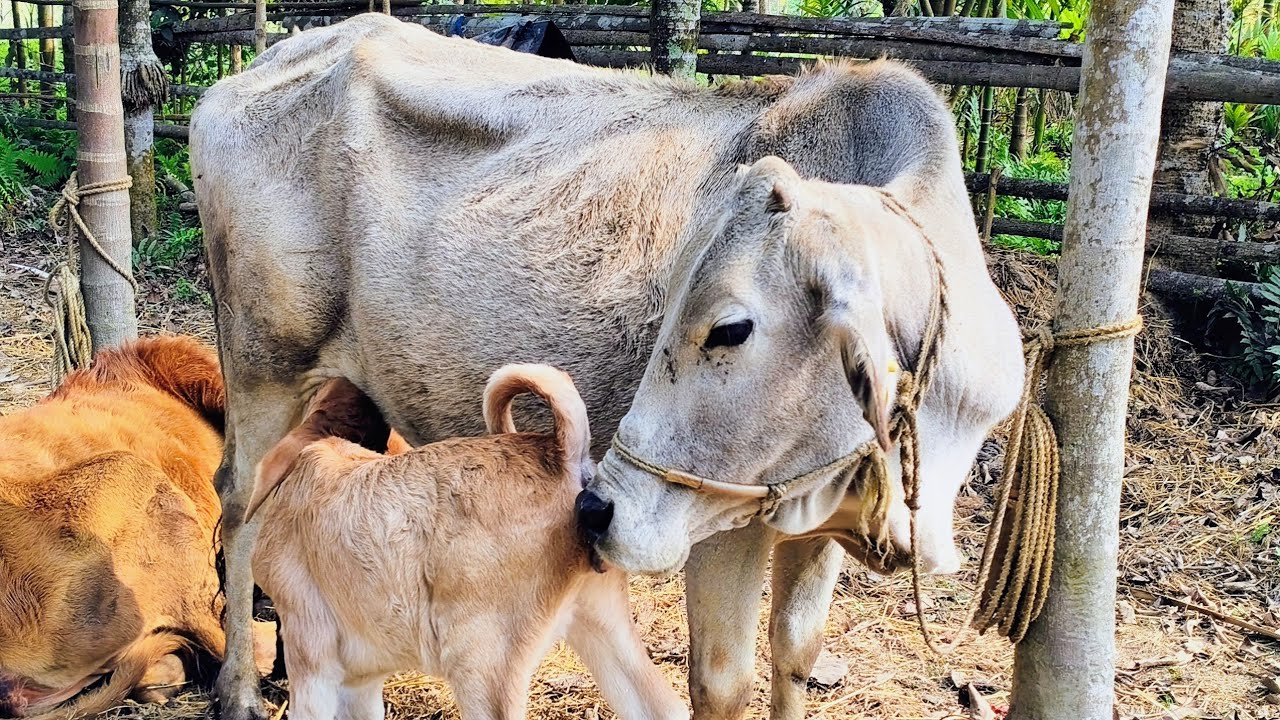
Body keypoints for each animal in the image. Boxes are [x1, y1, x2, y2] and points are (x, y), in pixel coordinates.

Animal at [190, 13, 1022, 720]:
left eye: (730, 327)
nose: (593, 508)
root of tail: (254, 69)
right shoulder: (719, 525)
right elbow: (724, 682)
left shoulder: (813, 530)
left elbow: (795, 657)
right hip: (263, 361)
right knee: (238, 497)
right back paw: (238, 689)